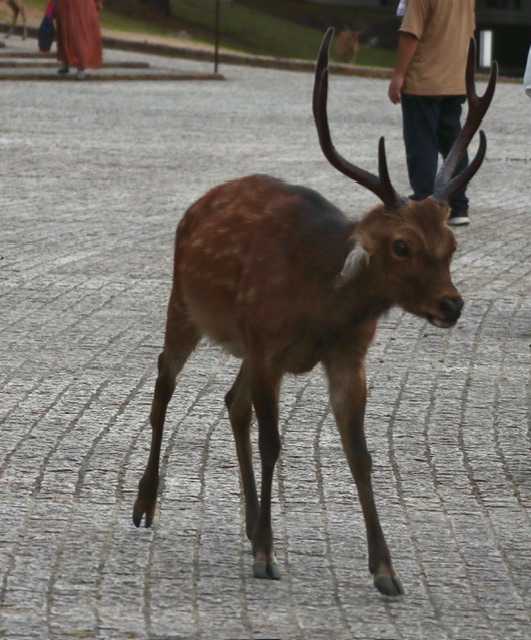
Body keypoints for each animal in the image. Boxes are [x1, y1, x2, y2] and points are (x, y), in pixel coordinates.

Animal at [133, 25, 498, 596]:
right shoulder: (268, 346)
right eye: (401, 246)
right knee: (164, 383)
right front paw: (267, 554)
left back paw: (249, 520)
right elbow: (273, 441)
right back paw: (148, 503)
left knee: (232, 401)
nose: (452, 305)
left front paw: (386, 569)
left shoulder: (346, 357)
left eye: (449, 245)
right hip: (185, 305)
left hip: (244, 342)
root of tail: (200, 203)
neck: (322, 308)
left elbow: (360, 454)